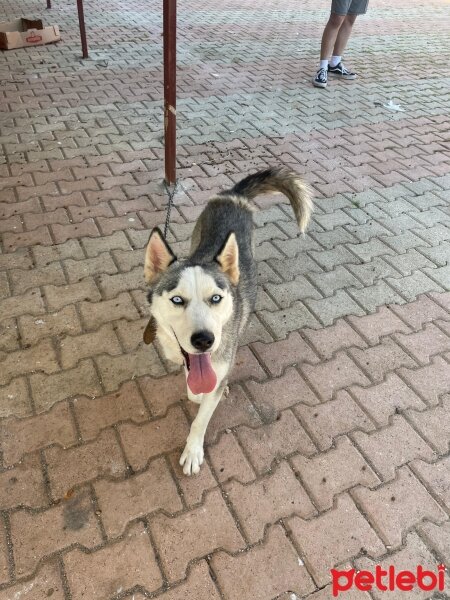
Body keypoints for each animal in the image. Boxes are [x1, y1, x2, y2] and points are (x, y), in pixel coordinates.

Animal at [144, 168, 312, 474]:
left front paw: (193, 450)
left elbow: (201, 415)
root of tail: (233, 195)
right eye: (177, 300)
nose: (204, 340)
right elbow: (194, 390)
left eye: (216, 298)